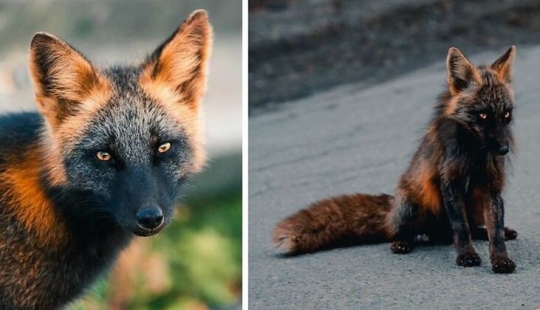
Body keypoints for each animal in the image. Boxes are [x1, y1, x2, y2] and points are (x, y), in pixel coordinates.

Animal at [274, 45, 520, 274]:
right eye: (483, 115)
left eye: (506, 114)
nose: (503, 149)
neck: (472, 155)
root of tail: (392, 210)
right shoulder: (450, 183)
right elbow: (460, 227)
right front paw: (466, 256)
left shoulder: (491, 187)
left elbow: (495, 232)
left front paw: (501, 259)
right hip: (413, 206)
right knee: (407, 233)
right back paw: (401, 242)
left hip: (474, 205)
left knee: (466, 230)